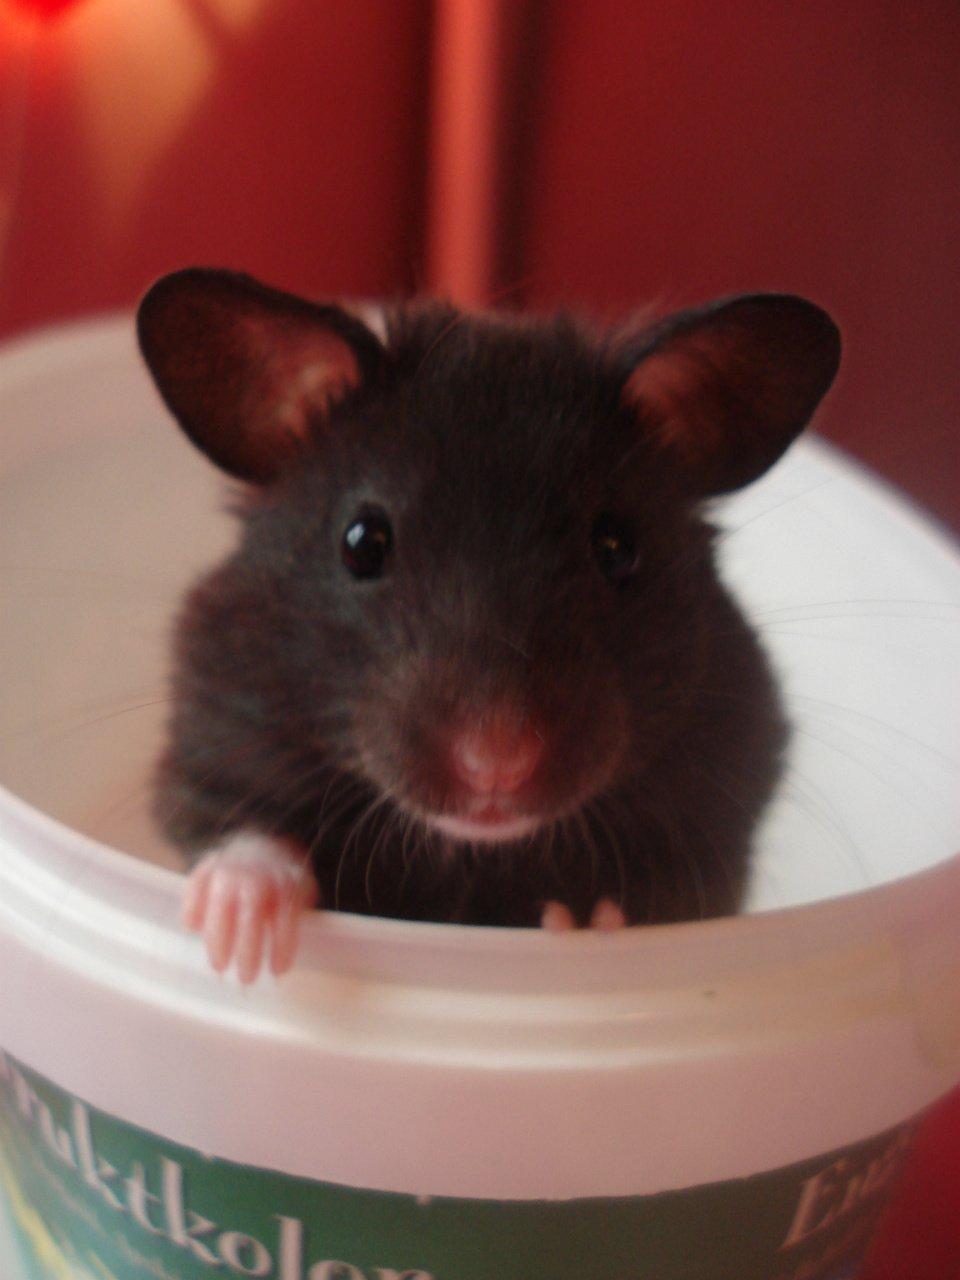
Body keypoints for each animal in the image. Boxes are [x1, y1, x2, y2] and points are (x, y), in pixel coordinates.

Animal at [136, 268, 840, 982]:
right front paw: (239, 944)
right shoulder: (215, 734)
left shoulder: (723, 808)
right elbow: (243, 830)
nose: (495, 766)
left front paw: (583, 917)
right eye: (361, 542)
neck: (475, 848)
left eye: (618, 546)